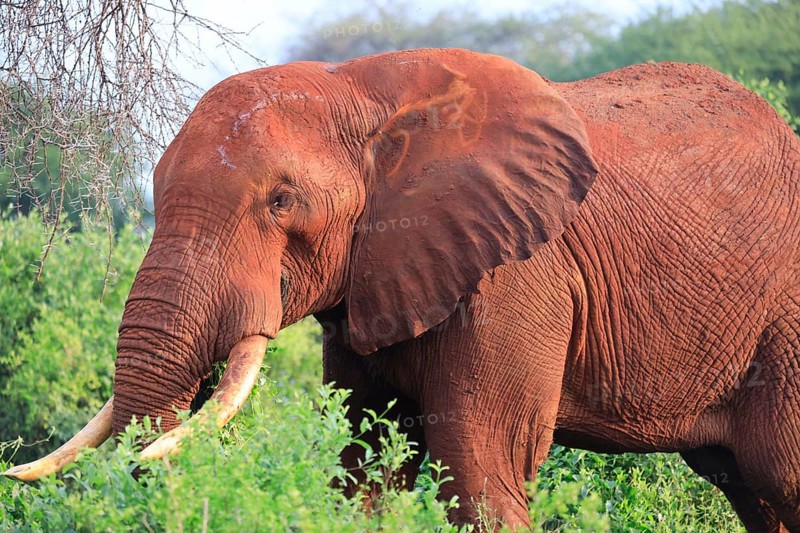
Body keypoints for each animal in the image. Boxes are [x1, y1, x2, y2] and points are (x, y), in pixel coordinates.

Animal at [5, 48, 800, 530]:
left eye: (281, 202)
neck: (362, 90)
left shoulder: (513, 277)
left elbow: (479, 474)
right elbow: (364, 471)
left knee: (777, 472)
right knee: (752, 488)